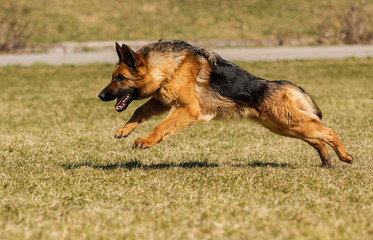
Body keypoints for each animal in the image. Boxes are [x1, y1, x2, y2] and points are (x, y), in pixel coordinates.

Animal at [96, 39, 352, 167]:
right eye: (113, 77)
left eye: (120, 78)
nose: (100, 96)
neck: (169, 67)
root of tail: (280, 85)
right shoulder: (162, 101)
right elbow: (139, 110)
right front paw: (125, 129)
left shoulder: (186, 109)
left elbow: (161, 126)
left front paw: (146, 141)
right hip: (284, 127)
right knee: (316, 138)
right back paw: (326, 161)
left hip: (288, 123)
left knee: (327, 131)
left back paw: (344, 156)